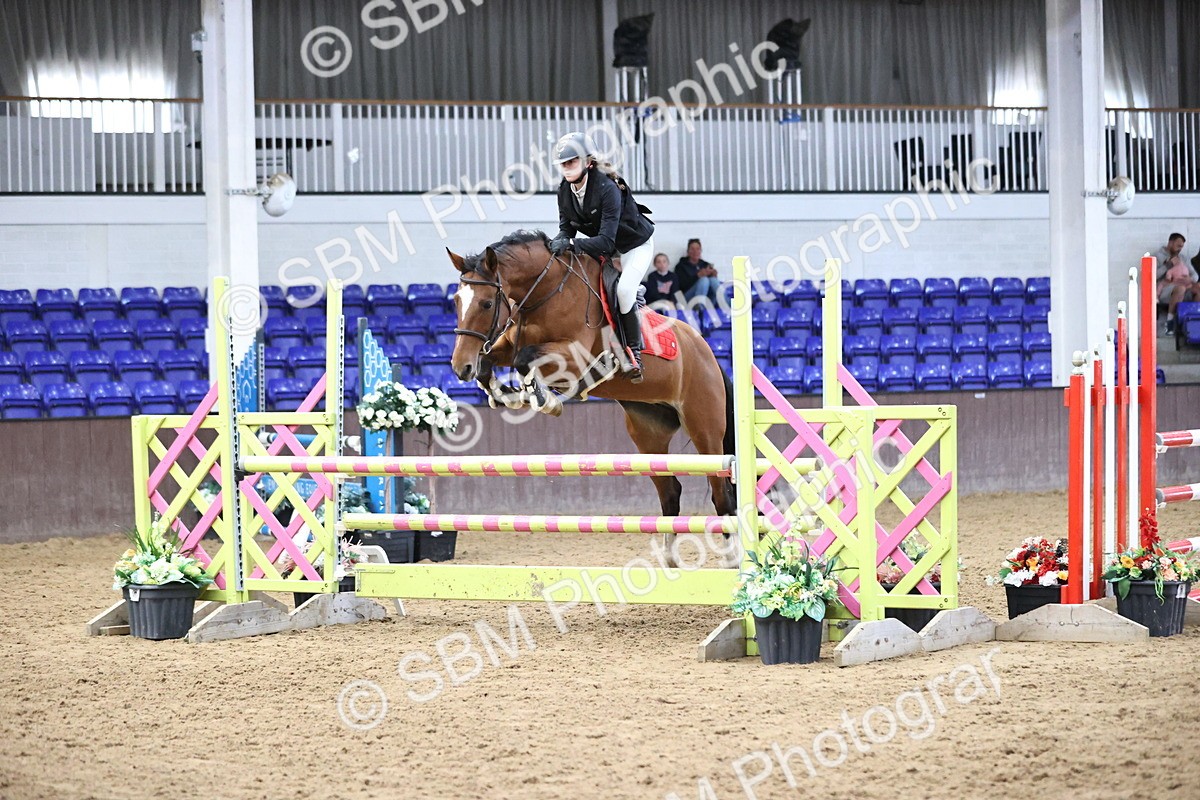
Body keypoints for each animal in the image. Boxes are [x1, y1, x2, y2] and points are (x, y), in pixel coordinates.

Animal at [445, 230, 738, 566]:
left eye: (486, 303)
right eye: (456, 301)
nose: (460, 367)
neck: (545, 293)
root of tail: (708, 353)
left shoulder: (573, 359)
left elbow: (524, 358)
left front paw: (544, 400)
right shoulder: (508, 344)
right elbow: (493, 361)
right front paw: (508, 395)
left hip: (705, 430)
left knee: (721, 493)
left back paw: (732, 560)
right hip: (648, 433)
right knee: (670, 492)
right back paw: (669, 560)